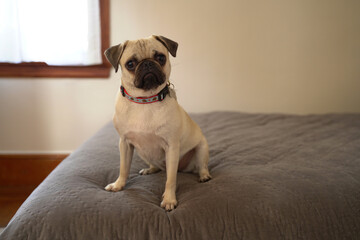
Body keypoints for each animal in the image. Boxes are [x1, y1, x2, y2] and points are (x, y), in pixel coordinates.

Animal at [104, 35, 211, 210]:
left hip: (201, 148)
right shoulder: (125, 144)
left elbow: (170, 179)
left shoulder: (172, 147)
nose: (147, 63)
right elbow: (123, 168)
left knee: (201, 166)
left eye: (160, 58)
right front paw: (119, 185)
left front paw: (169, 199)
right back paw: (149, 170)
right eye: (130, 64)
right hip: (143, 153)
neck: (145, 100)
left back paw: (204, 176)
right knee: (155, 166)